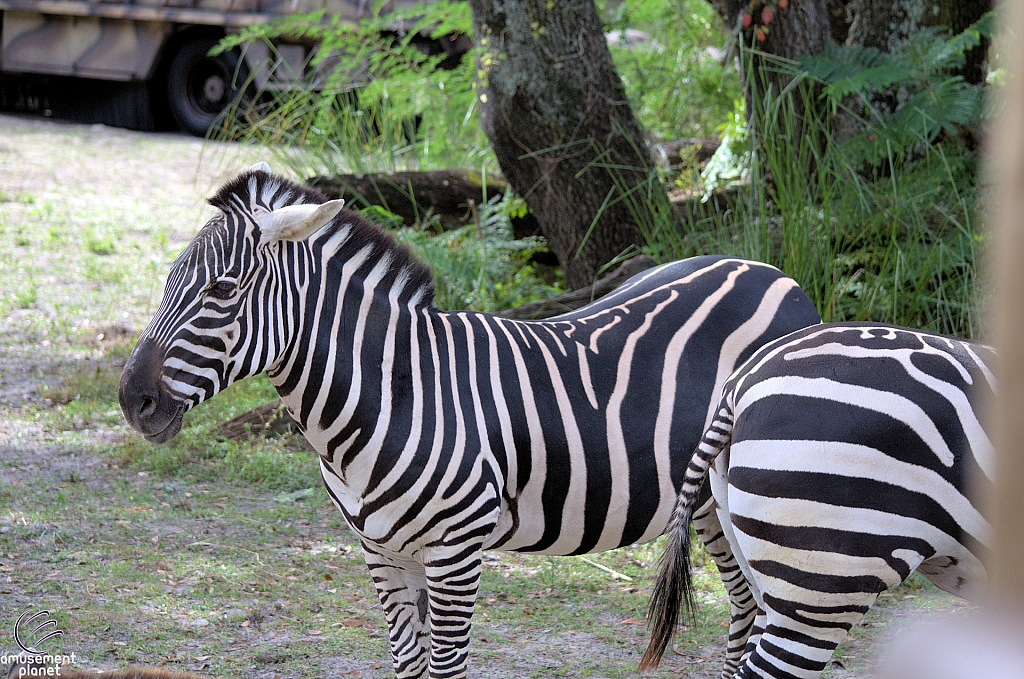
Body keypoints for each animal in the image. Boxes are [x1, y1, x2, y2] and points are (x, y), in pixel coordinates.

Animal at [116, 165, 819, 679]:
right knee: (747, 612)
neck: (395, 394)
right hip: (713, 504)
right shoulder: (381, 551)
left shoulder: (456, 550)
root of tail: (775, 275)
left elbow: (445, 669)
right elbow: (408, 664)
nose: (131, 400)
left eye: (223, 289)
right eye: (169, 280)